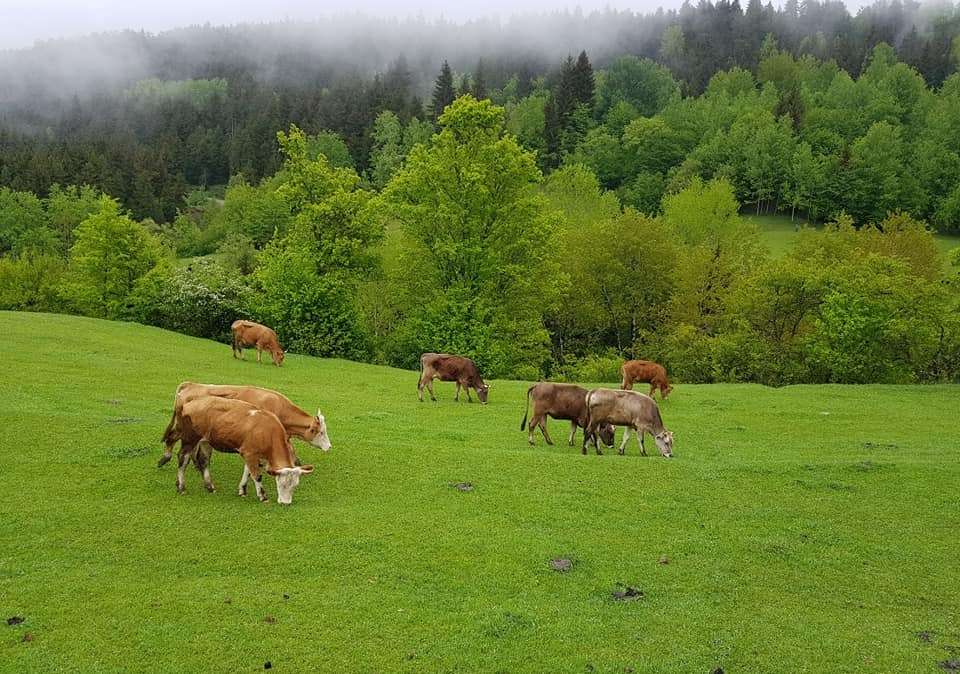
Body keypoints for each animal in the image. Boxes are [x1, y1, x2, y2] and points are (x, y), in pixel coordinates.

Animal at [172, 396, 316, 502]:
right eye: (282, 484)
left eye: (295, 485)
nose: (286, 503)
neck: (268, 431)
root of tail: (188, 404)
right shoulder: (249, 453)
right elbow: (256, 475)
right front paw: (262, 496)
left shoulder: (252, 454)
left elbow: (248, 471)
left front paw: (242, 489)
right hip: (189, 439)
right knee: (183, 459)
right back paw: (181, 487)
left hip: (205, 441)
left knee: (204, 461)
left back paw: (210, 487)